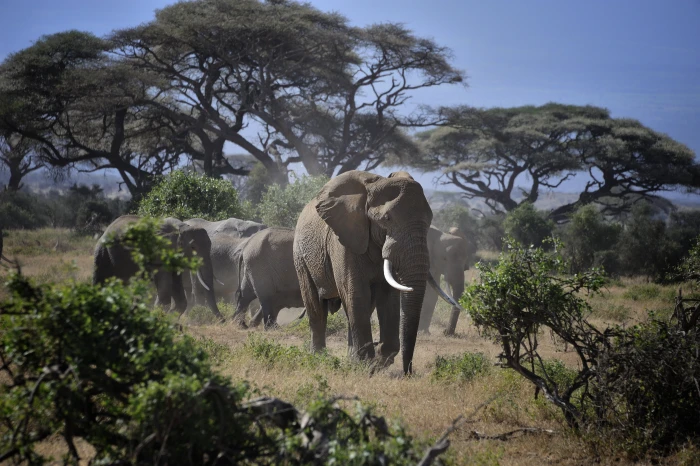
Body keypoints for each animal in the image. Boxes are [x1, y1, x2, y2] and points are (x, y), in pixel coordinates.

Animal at [93, 215, 223, 320]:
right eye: (193, 247)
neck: (181, 227)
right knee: (99, 282)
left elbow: (179, 296)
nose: (224, 320)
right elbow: (165, 293)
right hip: (102, 251)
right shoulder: (159, 251)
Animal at [293, 170, 457, 375]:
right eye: (387, 219)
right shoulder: (345, 240)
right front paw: (367, 363)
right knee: (315, 305)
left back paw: (351, 359)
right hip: (300, 256)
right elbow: (356, 293)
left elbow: (388, 296)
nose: (408, 372)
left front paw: (376, 361)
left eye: (429, 222)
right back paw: (319, 358)